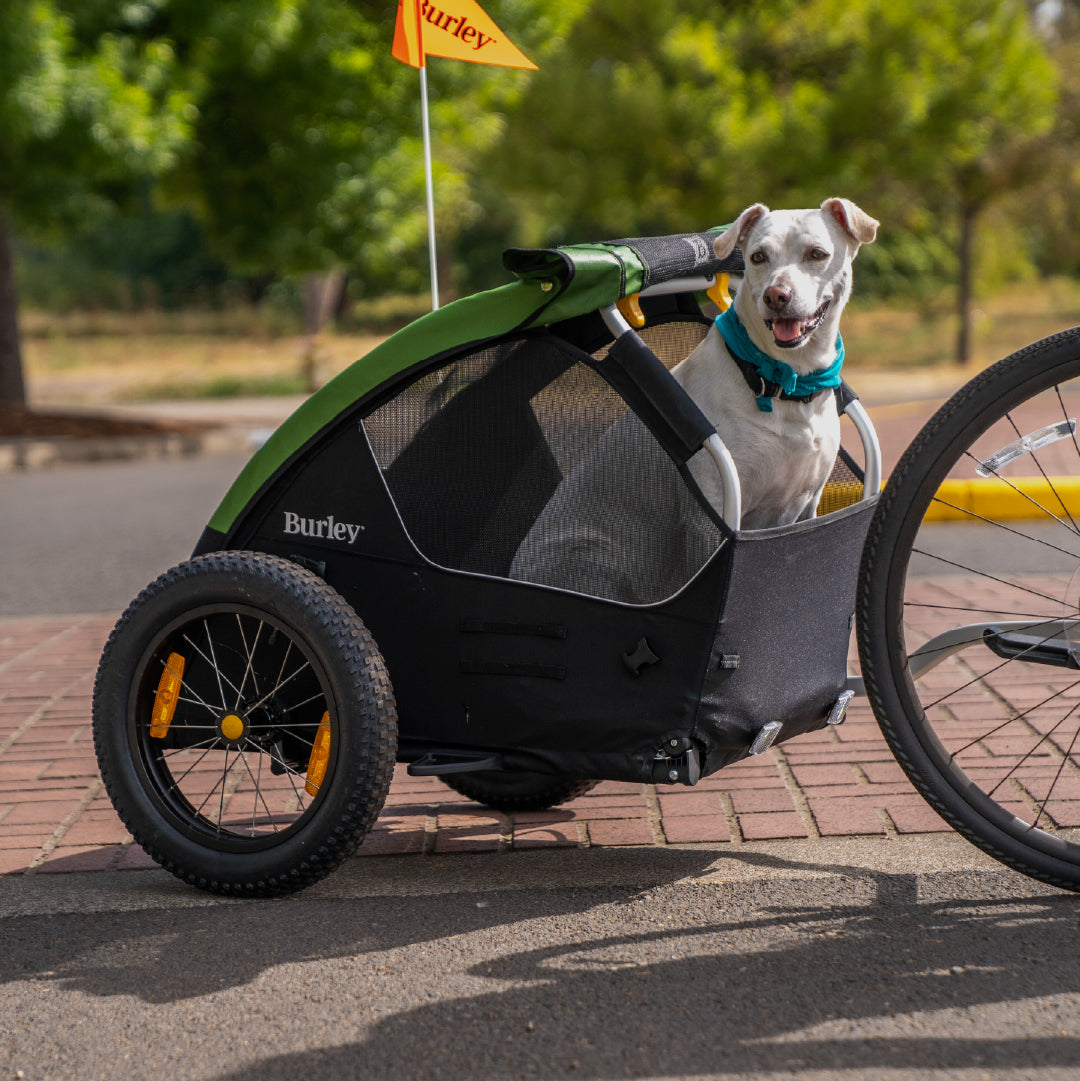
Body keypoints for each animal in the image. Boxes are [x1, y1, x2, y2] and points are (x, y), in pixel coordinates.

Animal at [510, 198, 878, 602]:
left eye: (817, 254)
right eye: (758, 257)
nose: (776, 296)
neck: (782, 381)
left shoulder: (806, 506)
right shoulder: (712, 519)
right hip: (591, 559)